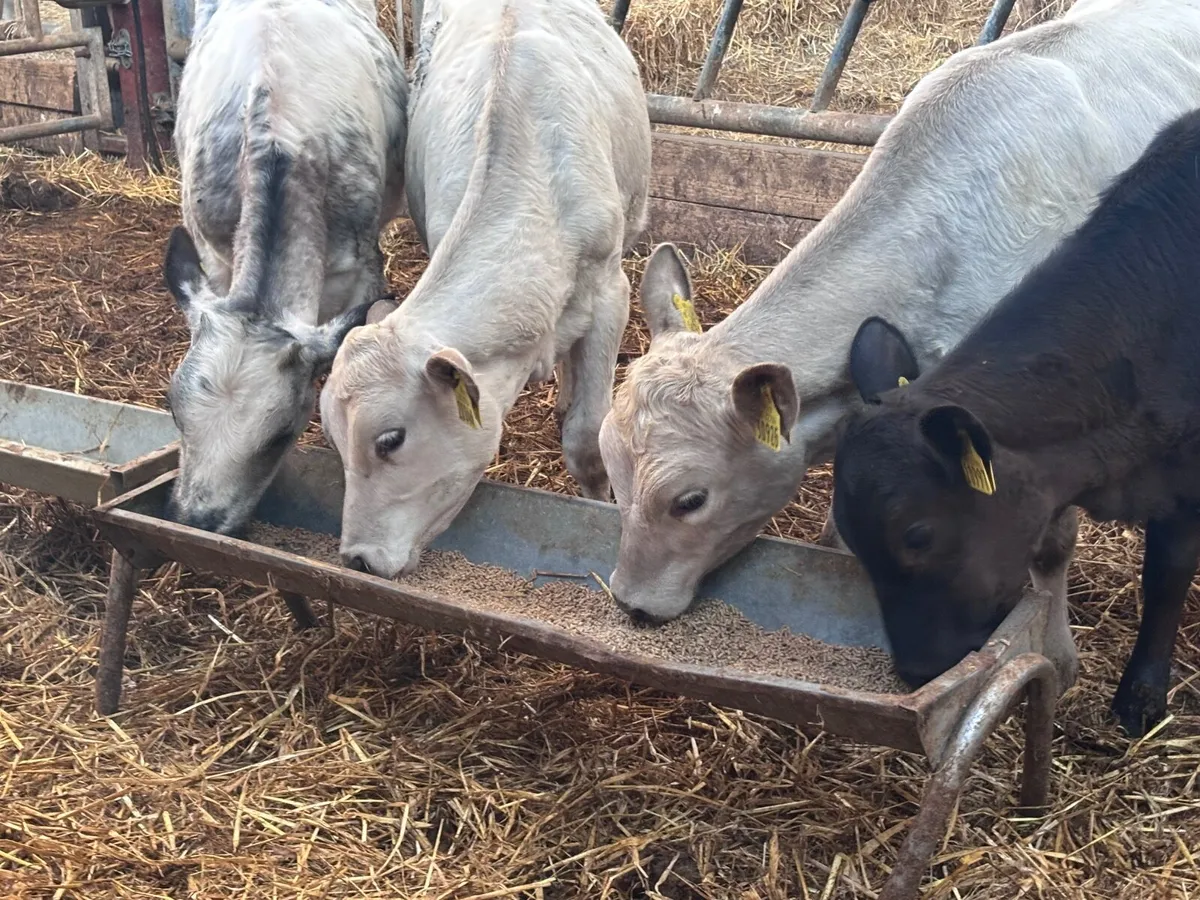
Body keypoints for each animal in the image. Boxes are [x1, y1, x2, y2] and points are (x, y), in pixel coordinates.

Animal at [319, 0, 652, 579]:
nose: (357, 558)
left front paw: (597, 509)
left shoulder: (611, 292)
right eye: (333, 439)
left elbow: (588, 438)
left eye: (389, 439)